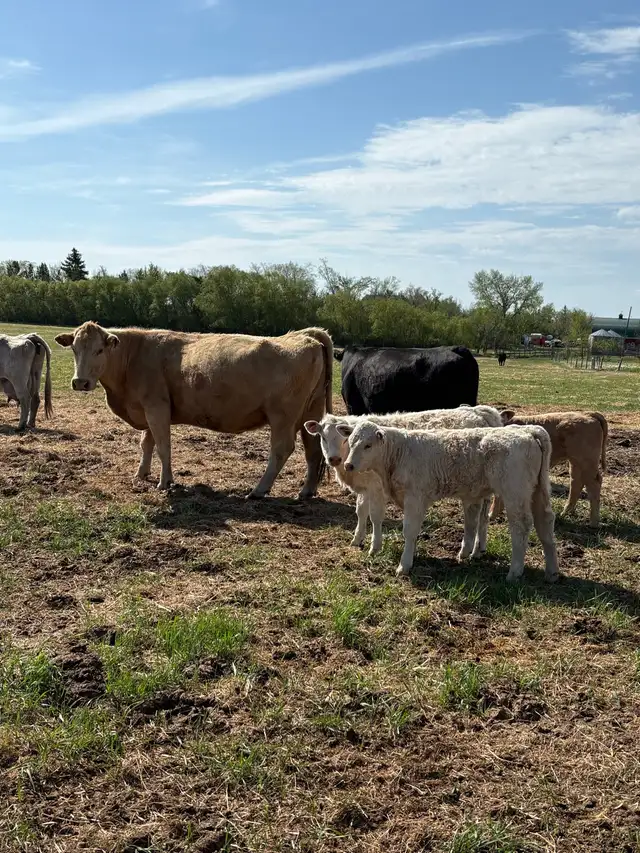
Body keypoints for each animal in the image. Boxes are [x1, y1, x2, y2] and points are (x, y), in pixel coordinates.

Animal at [55, 322, 333, 498]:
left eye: (99, 350)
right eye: (74, 349)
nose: (80, 382)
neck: (133, 357)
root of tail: (304, 335)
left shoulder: (156, 407)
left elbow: (163, 445)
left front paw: (164, 482)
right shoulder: (147, 408)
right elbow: (147, 444)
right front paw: (141, 474)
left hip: (282, 416)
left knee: (281, 449)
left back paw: (258, 490)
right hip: (311, 412)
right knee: (313, 449)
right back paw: (306, 491)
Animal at [304, 405, 503, 553]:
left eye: (343, 440)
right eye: (323, 437)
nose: (334, 459)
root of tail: (477, 411)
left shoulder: (377, 489)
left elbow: (375, 516)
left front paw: (375, 547)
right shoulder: (366, 488)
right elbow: (361, 512)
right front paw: (356, 539)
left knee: (483, 516)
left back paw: (477, 548)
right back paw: (479, 549)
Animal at [336, 420, 559, 583]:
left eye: (368, 445)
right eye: (351, 441)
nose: (348, 465)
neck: (399, 453)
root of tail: (528, 430)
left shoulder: (415, 498)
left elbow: (409, 531)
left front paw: (404, 566)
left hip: (515, 493)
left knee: (521, 526)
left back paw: (514, 572)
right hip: (538, 491)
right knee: (545, 521)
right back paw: (552, 571)